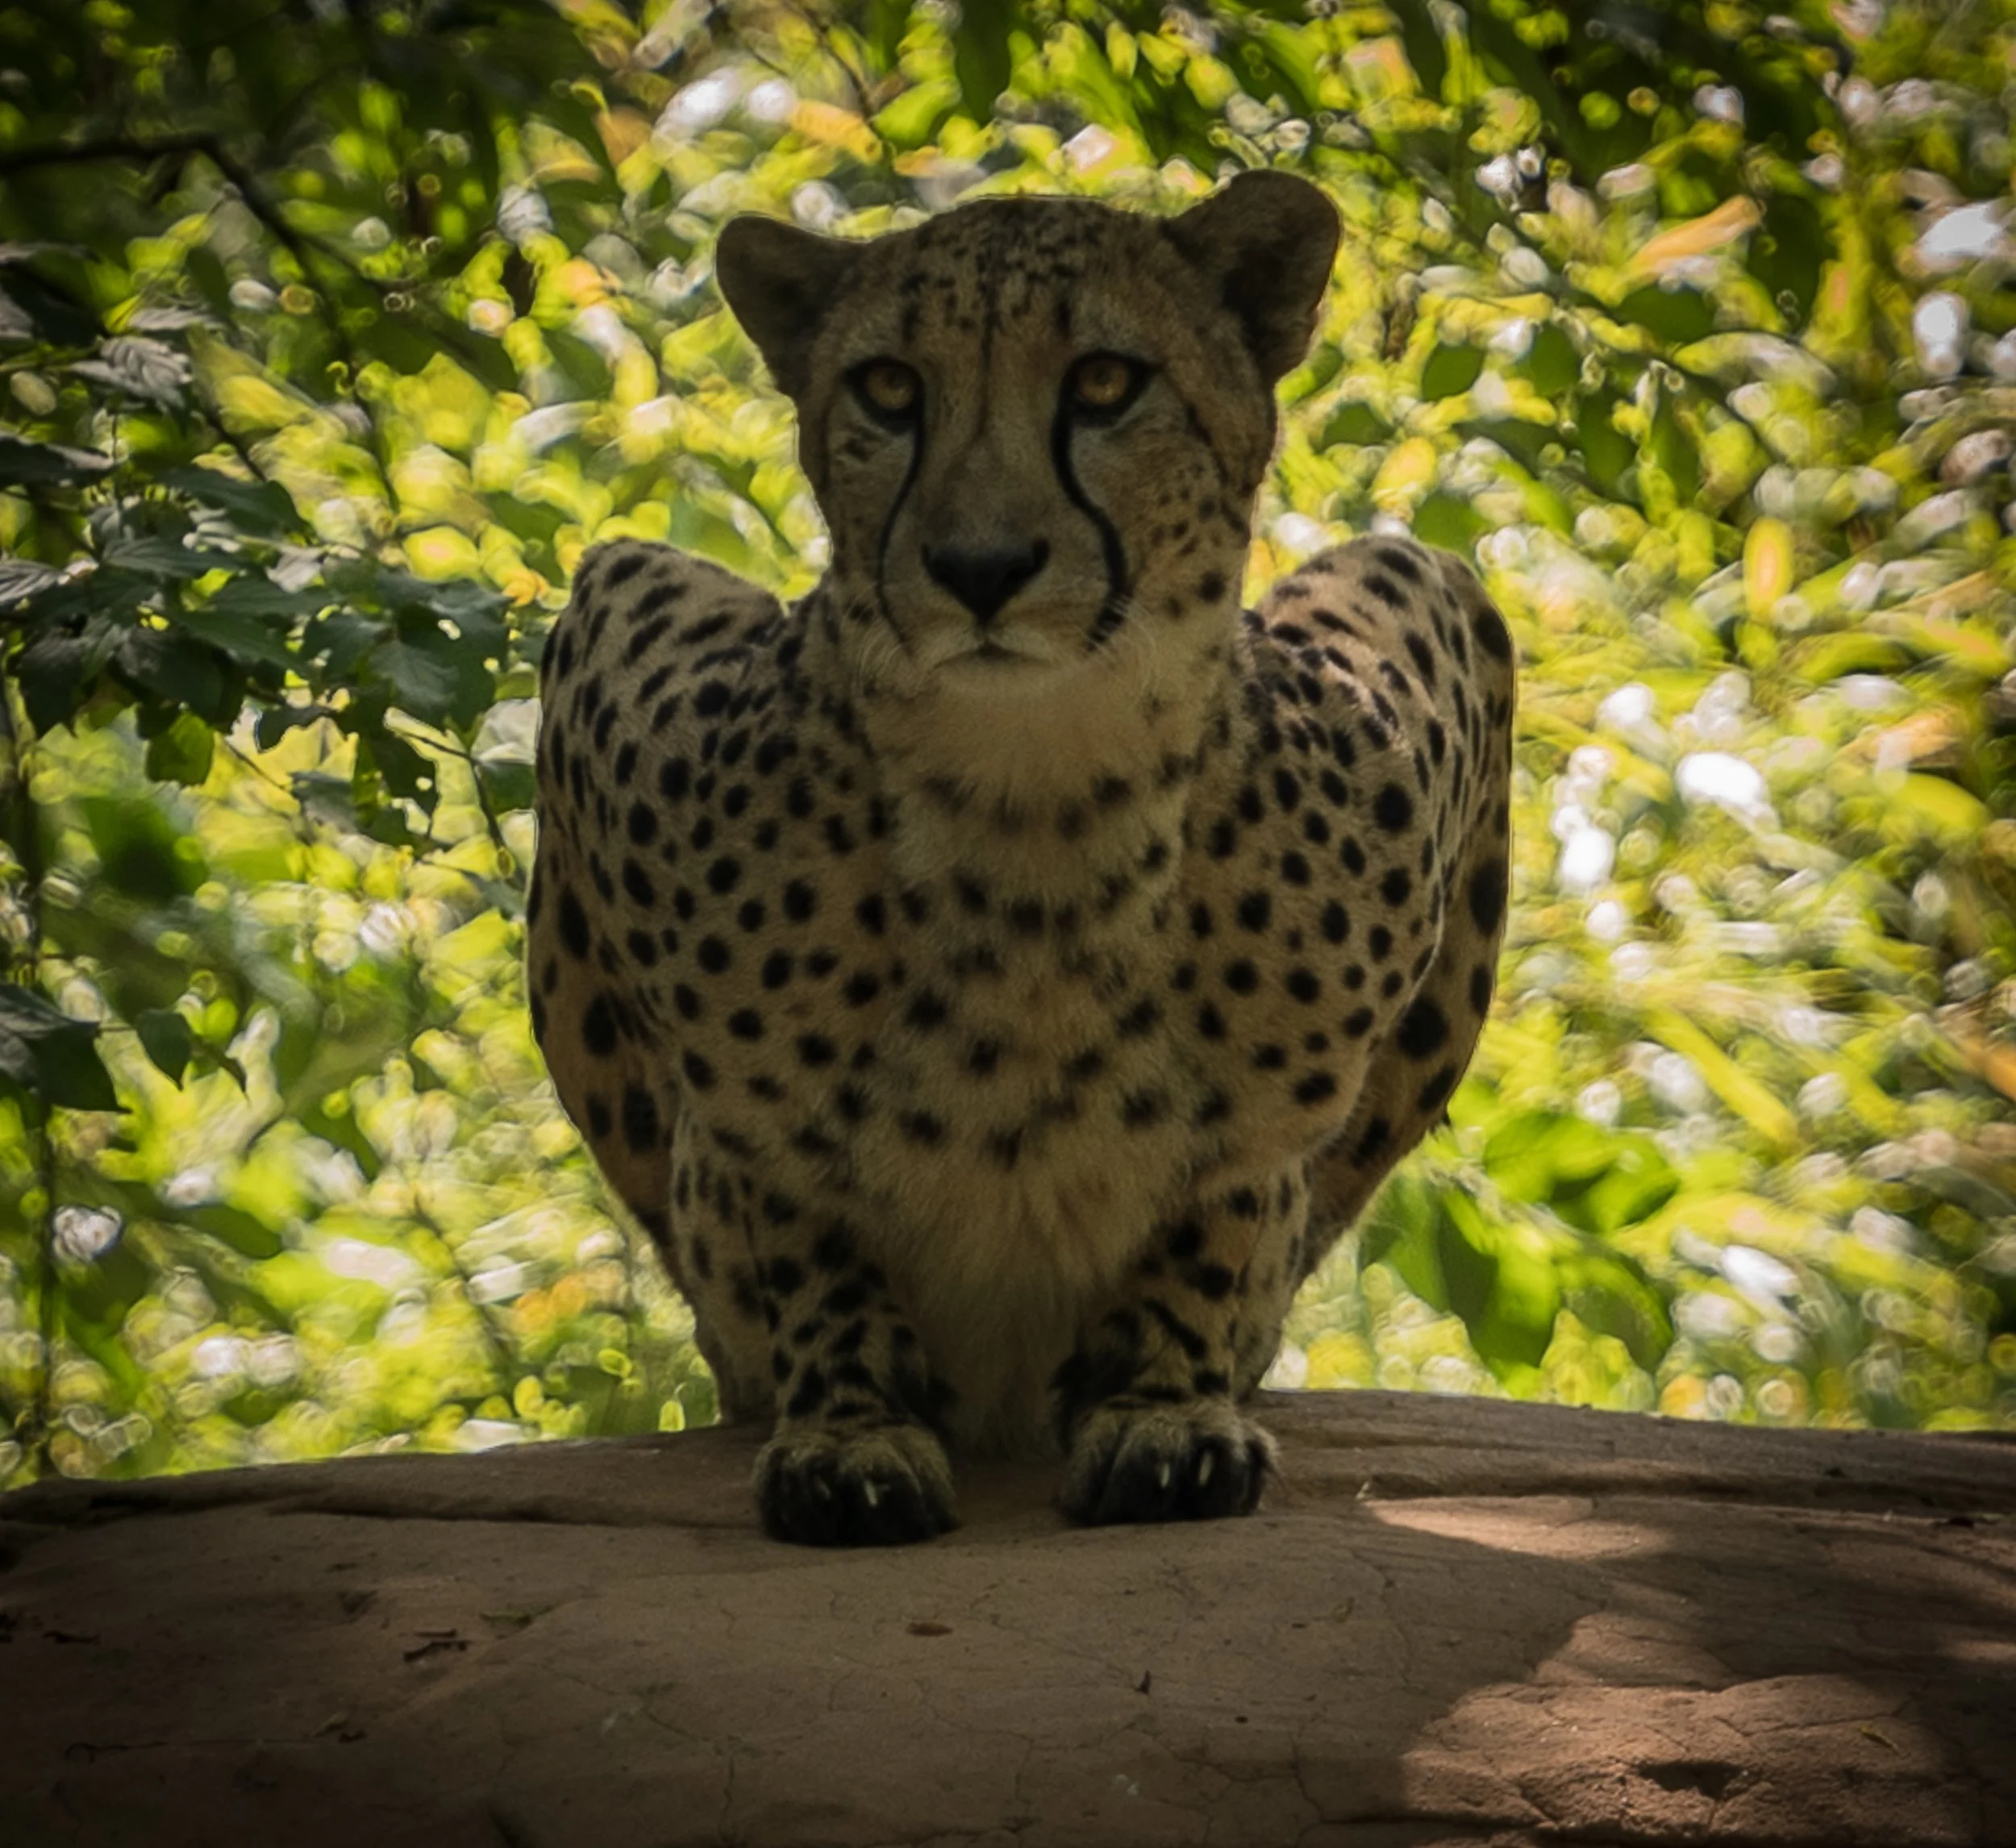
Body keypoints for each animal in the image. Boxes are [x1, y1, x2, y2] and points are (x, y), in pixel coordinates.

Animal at [527, 169, 1516, 1547]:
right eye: (890, 389)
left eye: (1104, 383)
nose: (980, 568)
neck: (1034, 793)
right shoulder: (614, 638)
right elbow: (800, 1215)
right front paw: (850, 1435)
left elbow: (1223, 1208)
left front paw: (1162, 1414)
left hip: (1427, 580)